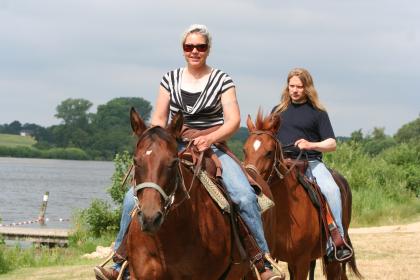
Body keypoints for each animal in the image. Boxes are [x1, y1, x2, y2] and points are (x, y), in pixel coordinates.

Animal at [243, 112, 360, 280]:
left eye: (269, 152)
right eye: (244, 150)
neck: (286, 211)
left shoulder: (301, 261)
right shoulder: (285, 261)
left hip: (333, 260)